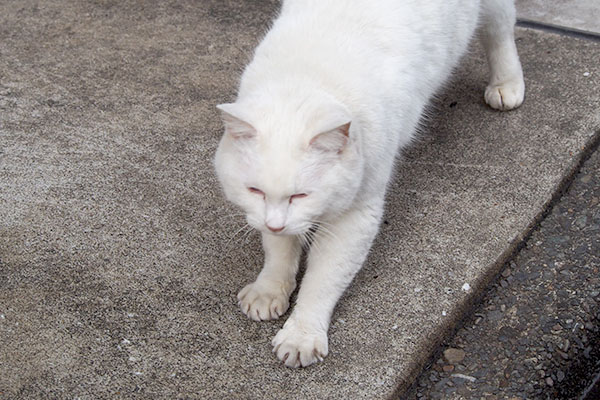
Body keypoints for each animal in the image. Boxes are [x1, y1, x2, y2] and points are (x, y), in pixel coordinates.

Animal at [213, 0, 524, 368]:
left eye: (302, 195)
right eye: (255, 191)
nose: (275, 223)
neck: (307, 79)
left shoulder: (356, 215)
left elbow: (322, 280)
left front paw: (302, 334)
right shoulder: (267, 215)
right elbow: (279, 250)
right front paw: (270, 288)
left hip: (493, 11)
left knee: (500, 31)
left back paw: (507, 84)